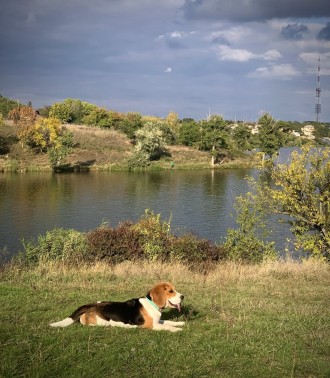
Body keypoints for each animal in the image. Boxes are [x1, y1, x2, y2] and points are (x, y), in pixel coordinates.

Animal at [51, 282, 186, 332]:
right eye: (170, 291)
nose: (183, 296)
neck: (152, 303)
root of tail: (91, 305)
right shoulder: (151, 325)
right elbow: (167, 326)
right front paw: (177, 329)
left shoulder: (157, 321)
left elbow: (167, 321)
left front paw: (180, 323)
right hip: (103, 322)